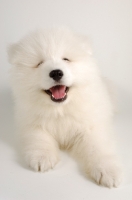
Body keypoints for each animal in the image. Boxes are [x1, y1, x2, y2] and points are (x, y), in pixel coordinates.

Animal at [8, 27, 121, 188]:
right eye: (39, 63)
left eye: (66, 59)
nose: (56, 72)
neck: (60, 109)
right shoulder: (30, 121)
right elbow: (39, 136)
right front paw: (42, 157)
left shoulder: (92, 126)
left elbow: (97, 147)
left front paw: (107, 172)